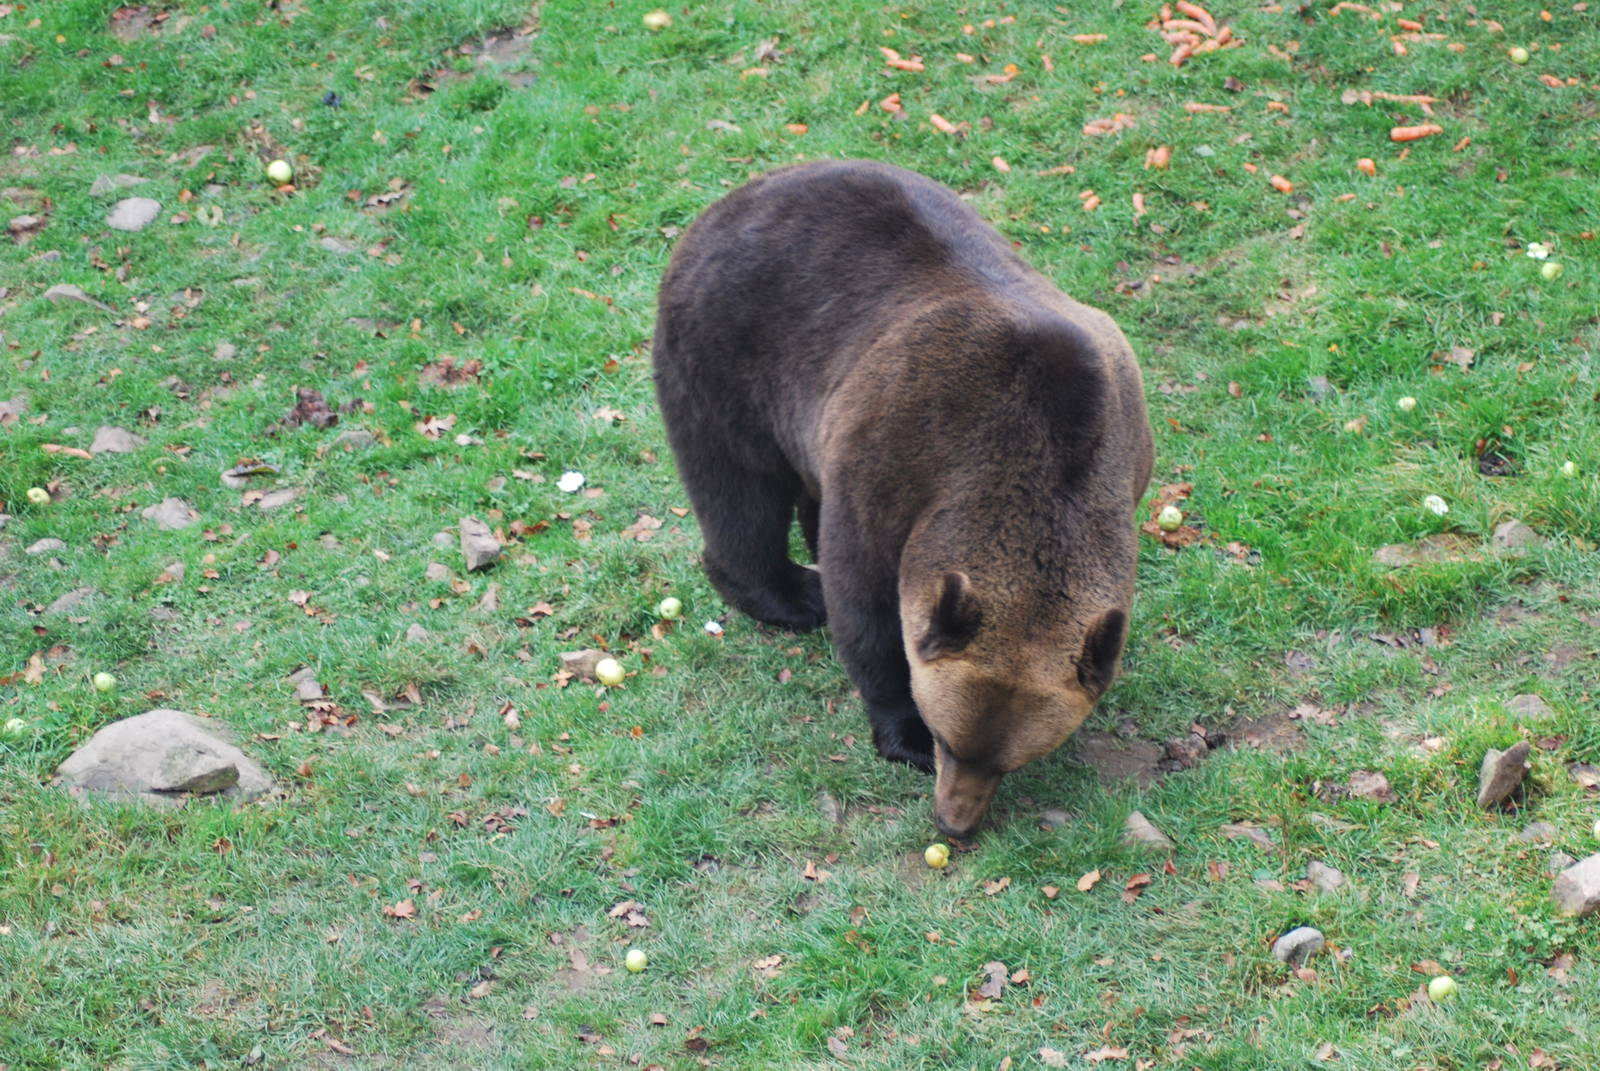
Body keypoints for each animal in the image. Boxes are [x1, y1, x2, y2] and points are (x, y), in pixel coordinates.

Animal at [652, 159, 1154, 838]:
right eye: (946, 739)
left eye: (1011, 762)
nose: (954, 823)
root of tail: (739, 194)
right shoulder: (900, 456)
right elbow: (865, 602)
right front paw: (900, 730)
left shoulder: (1126, 455)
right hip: (727, 350)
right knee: (739, 487)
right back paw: (790, 593)